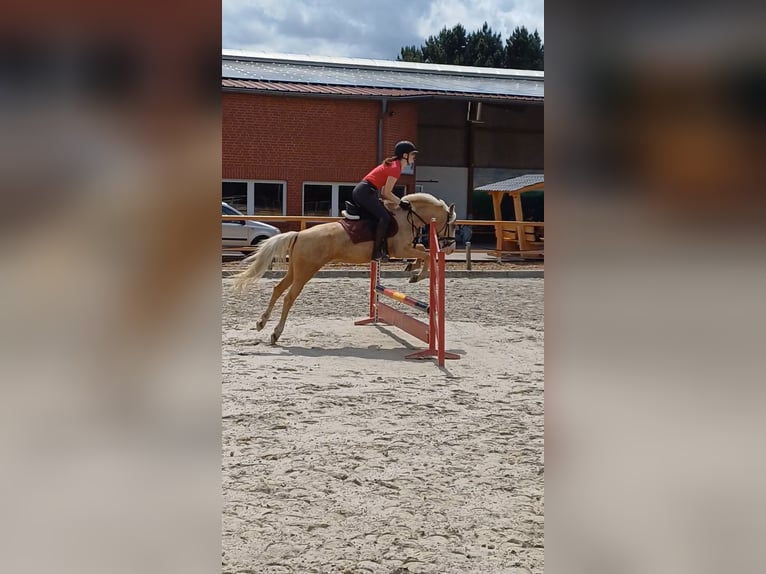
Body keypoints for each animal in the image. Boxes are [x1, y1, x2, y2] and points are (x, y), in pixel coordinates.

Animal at [231, 193, 457, 344]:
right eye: (453, 224)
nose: (452, 247)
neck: (407, 216)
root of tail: (299, 234)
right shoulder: (399, 249)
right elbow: (426, 254)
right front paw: (418, 275)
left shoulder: (404, 249)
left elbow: (421, 250)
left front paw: (412, 268)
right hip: (306, 271)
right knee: (289, 297)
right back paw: (276, 333)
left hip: (296, 270)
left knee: (278, 289)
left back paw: (261, 323)